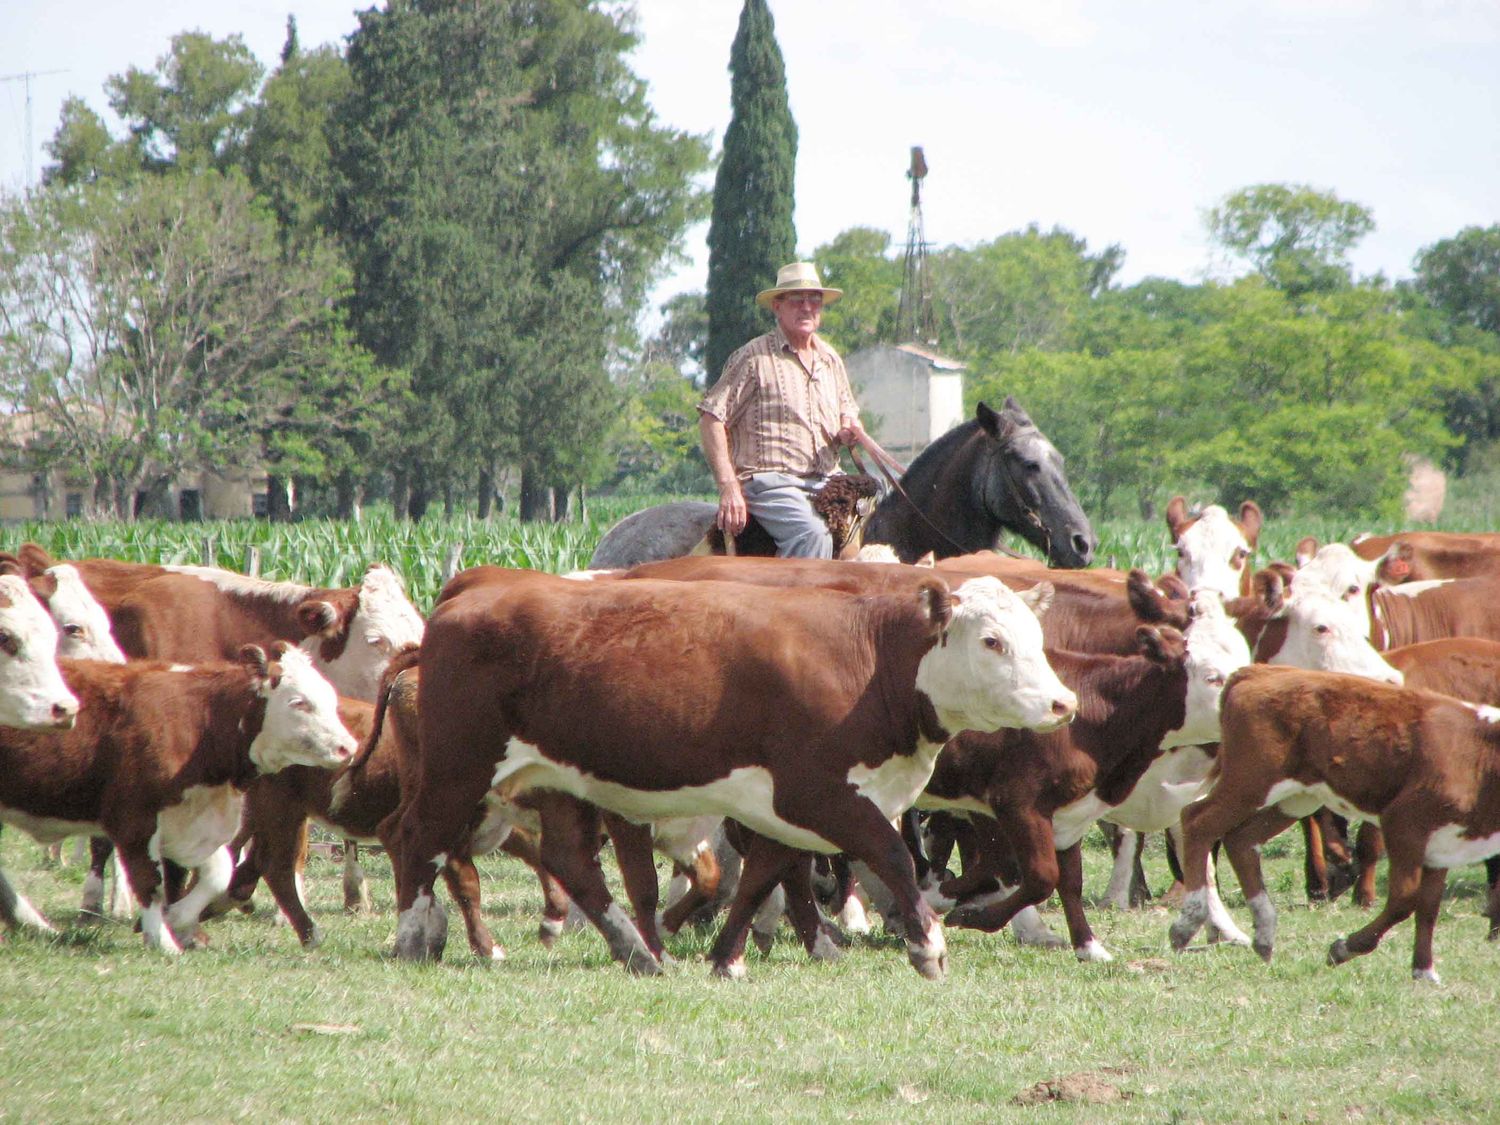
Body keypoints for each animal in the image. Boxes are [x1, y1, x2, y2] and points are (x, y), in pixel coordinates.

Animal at [0, 648, 354, 954]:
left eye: (330, 698)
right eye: (299, 703)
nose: (348, 747)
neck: (198, 722)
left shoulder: (191, 821)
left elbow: (219, 872)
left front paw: (178, 919)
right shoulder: (133, 820)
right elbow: (151, 883)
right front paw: (162, 938)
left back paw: (32, 923)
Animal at [1164, 666, 1500, 984]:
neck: (1479, 754)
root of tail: (1258, 671)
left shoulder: (1445, 845)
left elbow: (1429, 908)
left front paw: (1424, 970)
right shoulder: (1404, 822)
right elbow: (1404, 900)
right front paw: (1344, 948)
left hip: (1297, 796)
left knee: (1242, 840)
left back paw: (1264, 932)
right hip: (1251, 780)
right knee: (1196, 820)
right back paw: (1188, 923)